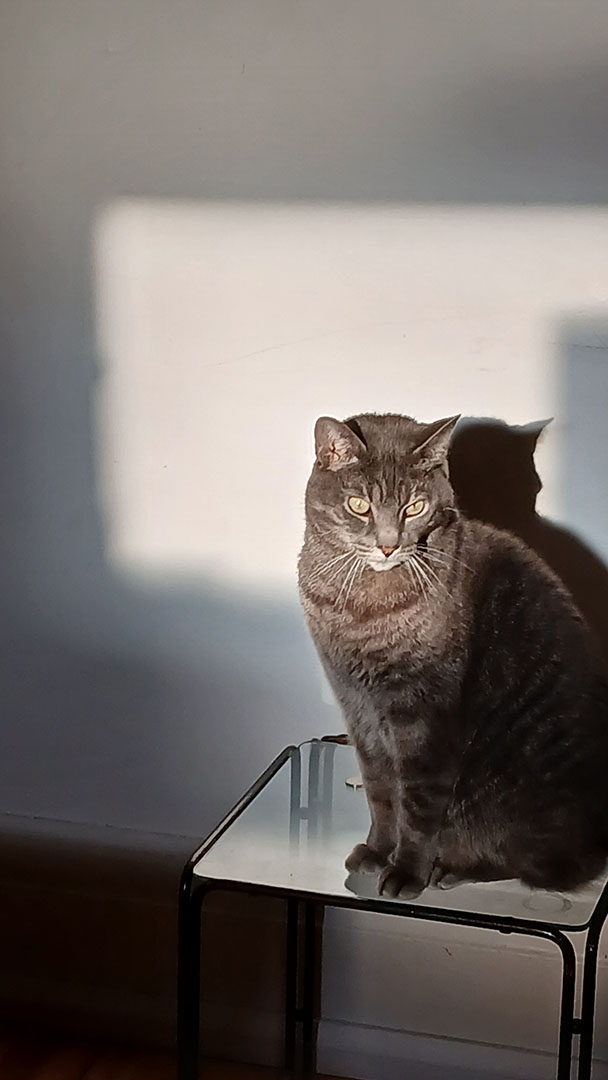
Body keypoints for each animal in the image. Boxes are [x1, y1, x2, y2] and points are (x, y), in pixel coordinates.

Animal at [298, 408, 608, 898]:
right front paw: (377, 850)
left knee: (543, 868)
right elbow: (381, 795)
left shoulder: (426, 719)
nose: (388, 544)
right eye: (359, 505)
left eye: (415, 507)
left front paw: (406, 871)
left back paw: (453, 869)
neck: (363, 607)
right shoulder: (359, 712)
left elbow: (418, 808)